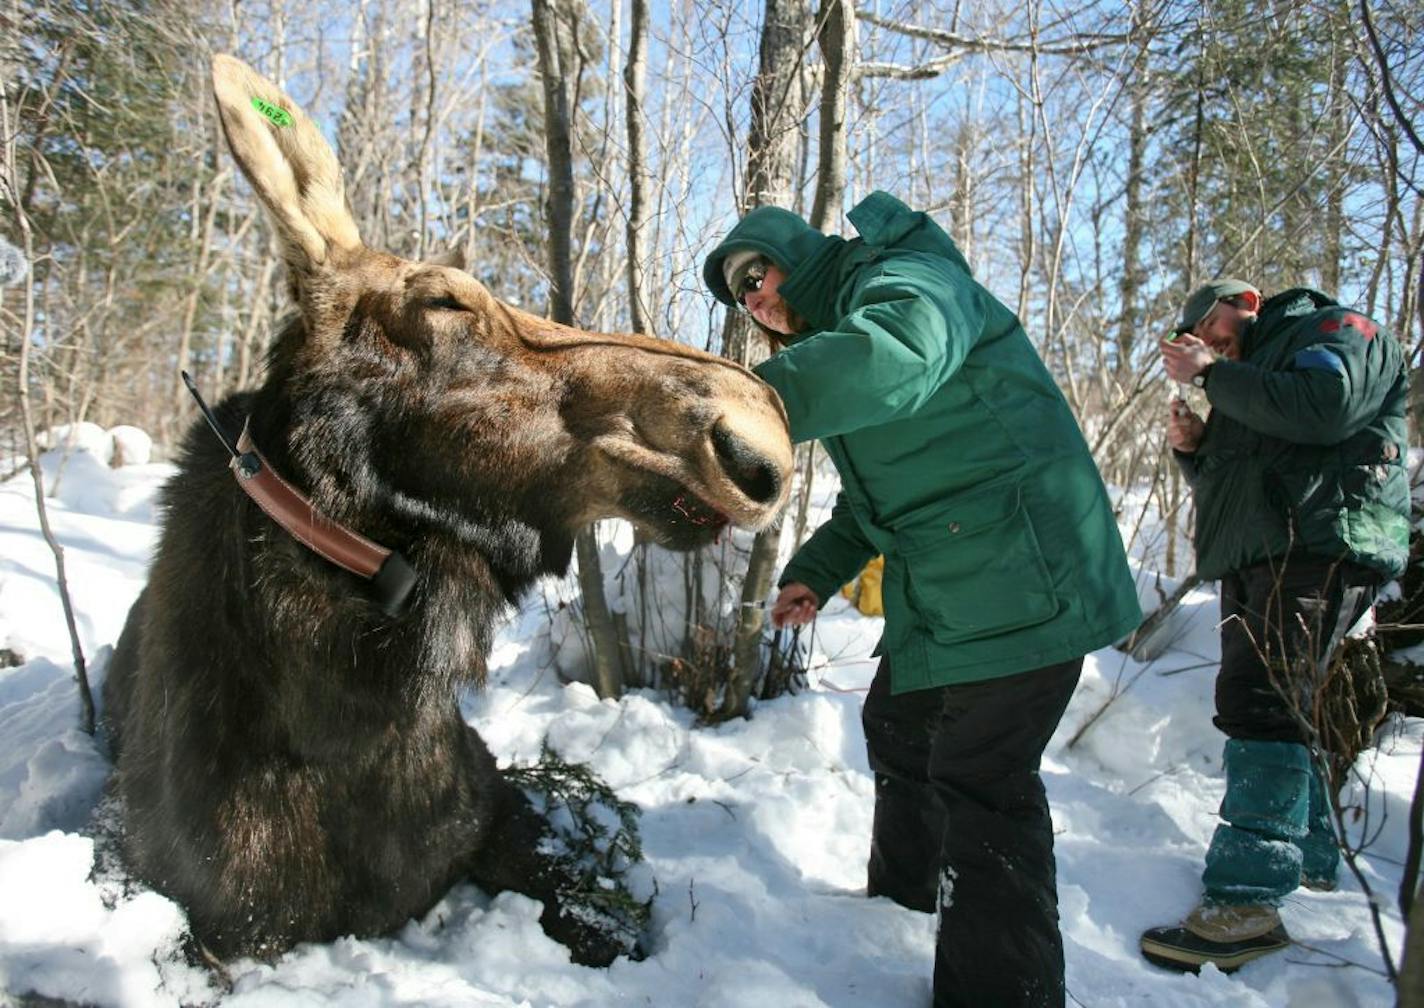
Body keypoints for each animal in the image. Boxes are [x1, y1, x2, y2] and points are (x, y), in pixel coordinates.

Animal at [103, 56, 791, 968]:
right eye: (445, 300)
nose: (754, 424)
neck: (348, 724)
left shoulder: (492, 806)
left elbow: (596, 907)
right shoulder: (206, 920)